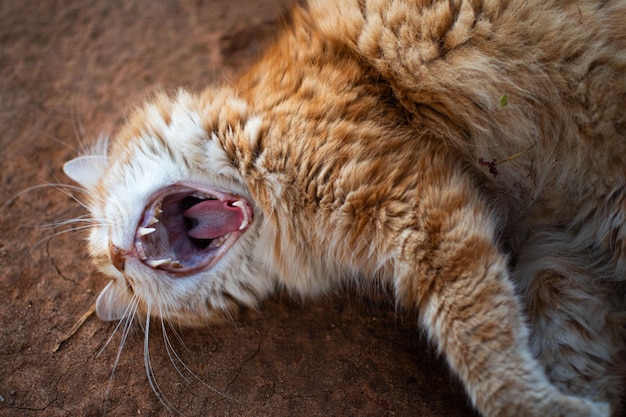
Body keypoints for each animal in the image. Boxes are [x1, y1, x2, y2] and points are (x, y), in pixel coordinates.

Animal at [62, 0, 624, 416]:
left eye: (105, 225)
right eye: (129, 286)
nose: (117, 257)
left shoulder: (414, 198)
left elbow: (478, 338)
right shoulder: (551, 262)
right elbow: (541, 341)